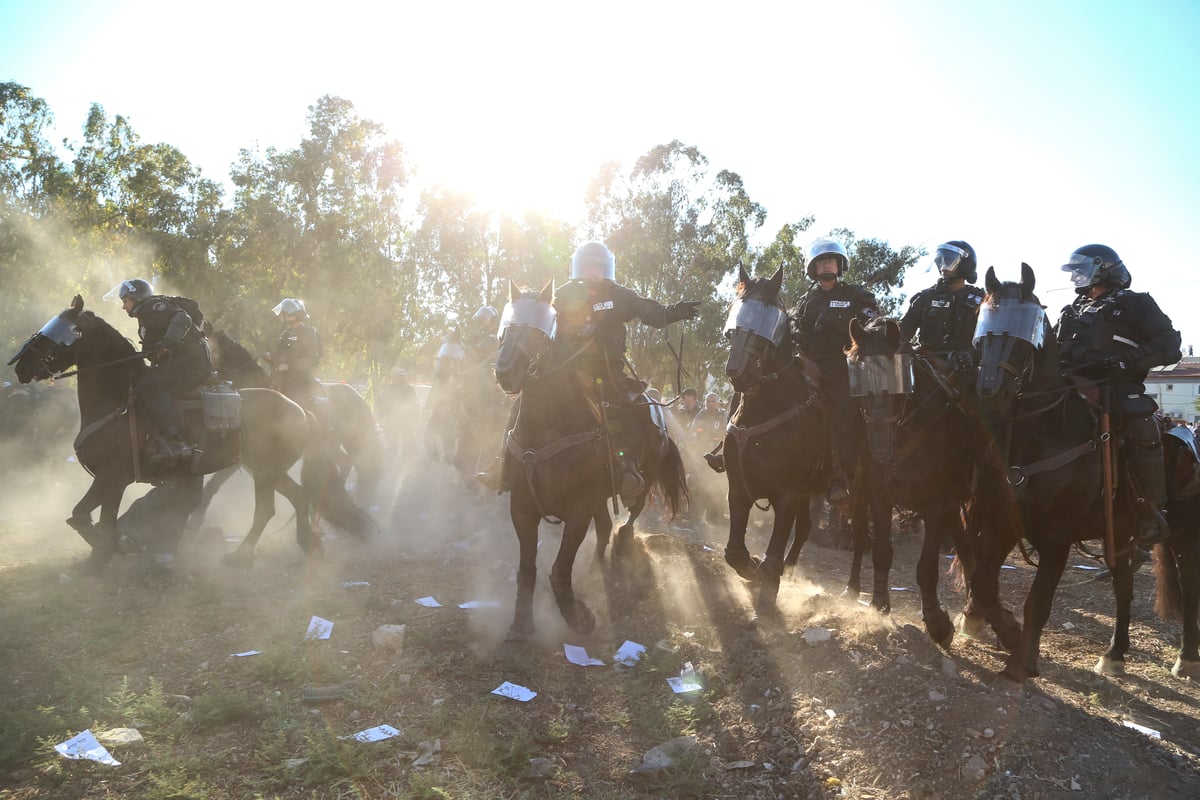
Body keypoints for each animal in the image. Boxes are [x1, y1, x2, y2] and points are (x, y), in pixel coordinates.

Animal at [5, 297, 369, 573]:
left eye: (54, 333)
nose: (20, 367)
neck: (118, 401)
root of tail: (301, 409)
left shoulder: (113, 478)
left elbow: (93, 518)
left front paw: (111, 549)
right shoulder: (110, 481)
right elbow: (86, 516)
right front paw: (101, 556)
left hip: (265, 471)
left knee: (266, 510)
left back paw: (241, 556)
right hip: (267, 469)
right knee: (299, 497)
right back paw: (307, 543)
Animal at [715, 266, 830, 618]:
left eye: (767, 319)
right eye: (737, 318)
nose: (738, 372)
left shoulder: (788, 494)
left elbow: (773, 551)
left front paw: (767, 586)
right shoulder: (739, 488)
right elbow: (733, 552)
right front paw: (751, 567)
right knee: (805, 527)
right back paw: (790, 569)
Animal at [844, 316, 984, 647]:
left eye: (896, 381)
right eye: (858, 379)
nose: (880, 450)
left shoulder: (938, 505)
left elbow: (927, 568)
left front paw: (936, 621)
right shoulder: (879, 495)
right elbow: (881, 552)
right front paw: (879, 605)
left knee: (968, 551)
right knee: (861, 538)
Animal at [964, 267, 1180, 681]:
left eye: (1025, 329)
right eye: (983, 322)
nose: (988, 390)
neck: (1044, 430)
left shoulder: (1057, 538)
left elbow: (1038, 600)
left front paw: (1022, 660)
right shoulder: (1002, 521)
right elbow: (983, 582)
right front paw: (1009, 633)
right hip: (1118, 534)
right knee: (1124, 583)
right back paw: (1114, 651)